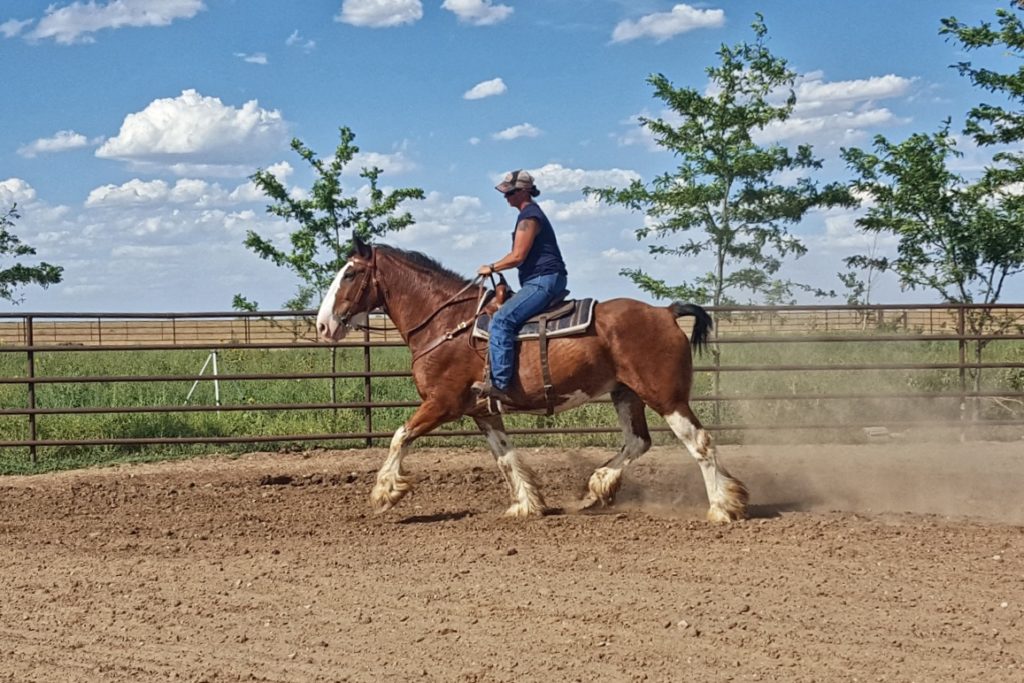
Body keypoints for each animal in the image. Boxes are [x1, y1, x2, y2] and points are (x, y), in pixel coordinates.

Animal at [315, 235, 749, 524]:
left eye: (351, 273)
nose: (323, 325)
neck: (446, 323)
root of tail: (665, 311)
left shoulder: (442, 403)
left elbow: (399, 437)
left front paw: (385, 493)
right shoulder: (483, 411)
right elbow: (505, 456)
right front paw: (526, 503)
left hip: (666, 396)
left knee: (699, 442)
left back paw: (721, 507)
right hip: (626, 394)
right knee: (638, 442)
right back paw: (597, 487)